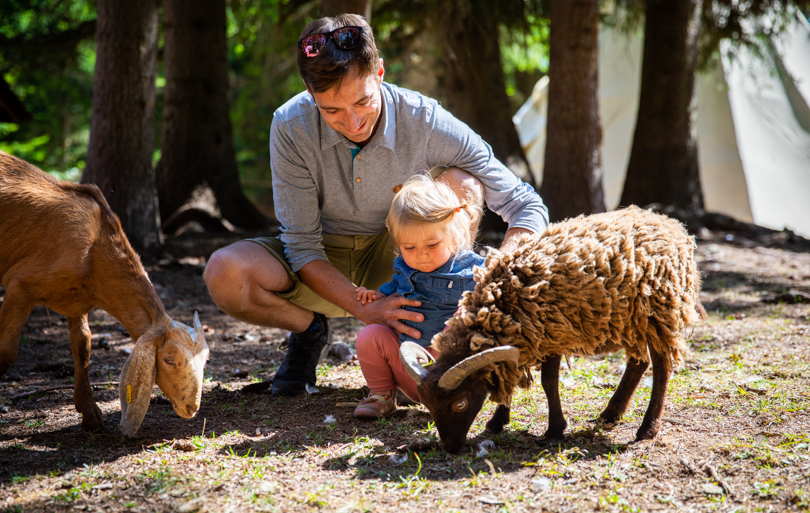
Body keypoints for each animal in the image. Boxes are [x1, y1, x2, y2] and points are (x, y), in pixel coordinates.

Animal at [0, 150, 208, 434]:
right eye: (167, 359)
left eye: (205, 361)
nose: (192, 407)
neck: (95, 248)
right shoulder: (19, 284)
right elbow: (7, 351)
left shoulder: (75, 302)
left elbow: (83, 345)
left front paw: (90, 414)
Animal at [400, 204, 704, 452]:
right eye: (427, 404)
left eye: (460, 403)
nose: (450, 448)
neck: (500, 306)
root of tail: (672, 224)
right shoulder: (522, 341)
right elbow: (507, 376)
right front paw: (498, 421)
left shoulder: (552, 333)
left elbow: (548, 383)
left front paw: (554, 430)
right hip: (631, 318)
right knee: (638, 363)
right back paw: (610, 414)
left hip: (660, 311)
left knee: (662, 368)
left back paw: (647, 429)